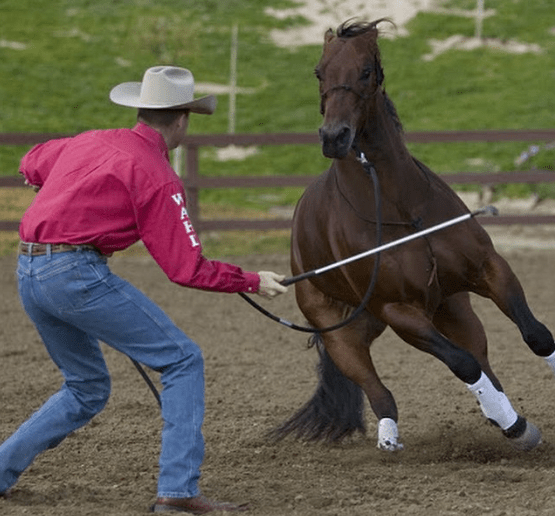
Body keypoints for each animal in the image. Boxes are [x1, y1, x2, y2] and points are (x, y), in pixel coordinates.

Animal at [276, 18, 555, 450]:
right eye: (319, 72)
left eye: (365, 71)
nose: (334, 137)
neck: (402, 208)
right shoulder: (399, 311)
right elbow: (461, 363)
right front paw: (517, 427)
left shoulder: (489, 269)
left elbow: (536, 336)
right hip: (343, 337)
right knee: (381, 392)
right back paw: (394, 437)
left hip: (452, 308)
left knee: (484, 360)